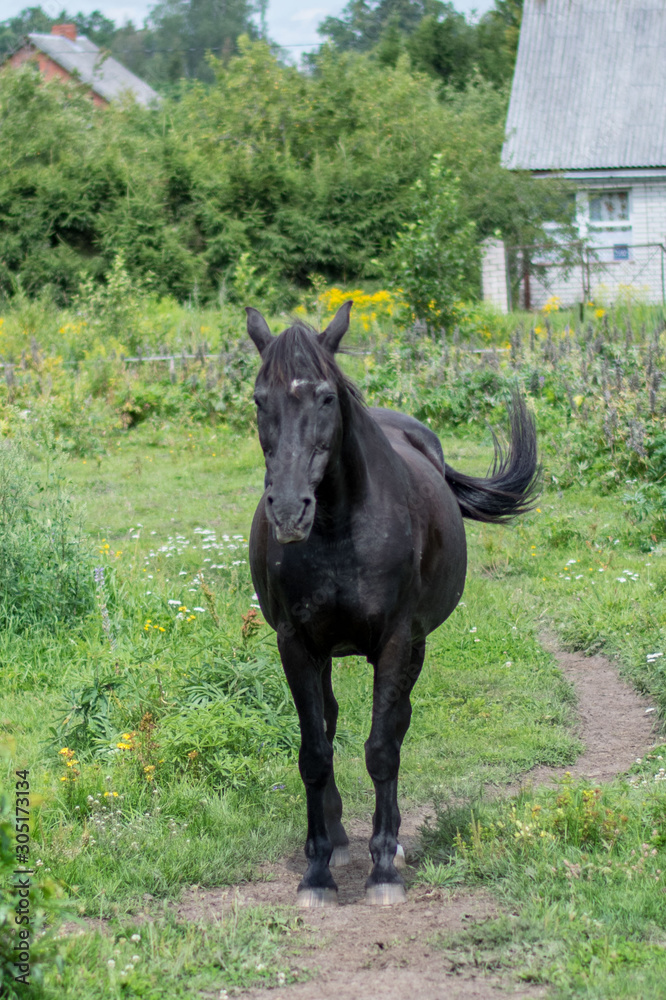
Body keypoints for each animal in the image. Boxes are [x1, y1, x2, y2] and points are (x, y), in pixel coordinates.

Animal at [246, 300, 536, 912]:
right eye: (260, 399)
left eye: (326, 398)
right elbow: (314, 753)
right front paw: (317, 874)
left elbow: (382, 748)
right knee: (330, 723)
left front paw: (383, 869)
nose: (288, 511)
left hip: (416, 645)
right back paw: (336, 841)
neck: (339, 526)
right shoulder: (296, 644)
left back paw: (391, 844)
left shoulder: (399, 640)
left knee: (397, 725)